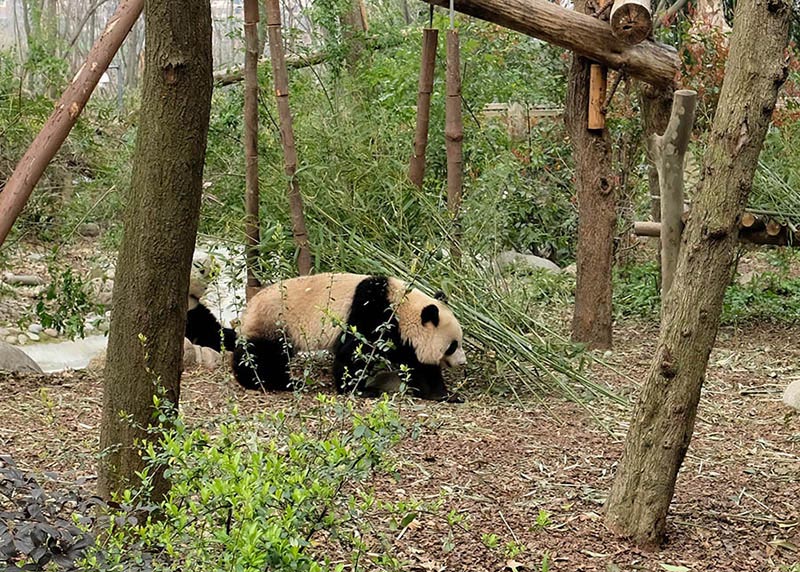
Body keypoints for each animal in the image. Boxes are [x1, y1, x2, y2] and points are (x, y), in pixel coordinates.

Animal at [231, 273, 466, 402]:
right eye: (453, 346)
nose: (463, 362)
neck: (401, 307)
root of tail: (250, 305)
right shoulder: (372, 313)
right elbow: (354, 353)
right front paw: (360, 389)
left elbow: (416, 364)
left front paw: (444, 394)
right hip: (276, 320)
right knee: (262, 353)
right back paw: (270, 381)